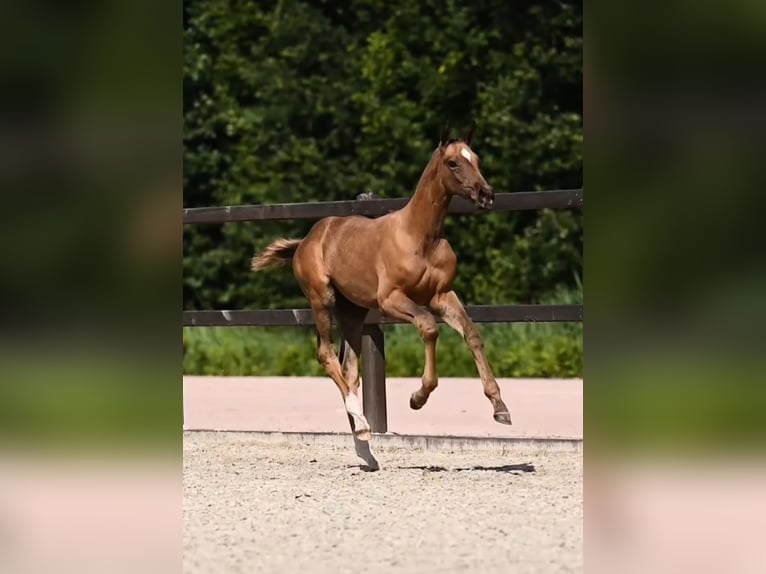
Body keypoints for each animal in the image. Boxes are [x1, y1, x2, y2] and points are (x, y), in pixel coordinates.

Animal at [254, 127, 510, 464]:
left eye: (476, 159)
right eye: (453, 163)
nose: (486, 194)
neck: (421, 236)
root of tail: (306, 240)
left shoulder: (442, 295)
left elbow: (472, 334)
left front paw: (500, 408)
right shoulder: (390, 299)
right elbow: (428, 326)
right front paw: (418, 397)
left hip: (353, 311)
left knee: (349, 367)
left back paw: (363, 442)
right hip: (322, 299)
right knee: (325, 354)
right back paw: (362, 425)